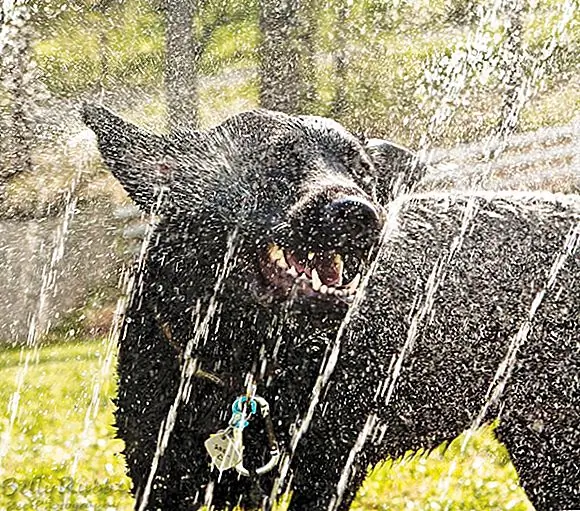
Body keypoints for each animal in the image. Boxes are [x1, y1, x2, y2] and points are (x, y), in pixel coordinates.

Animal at [84, 105, 576, 511]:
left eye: (361, 172)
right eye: (274, 162)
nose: (358, 213)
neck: (252, 367)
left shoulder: (331, 467)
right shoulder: (158, 469)